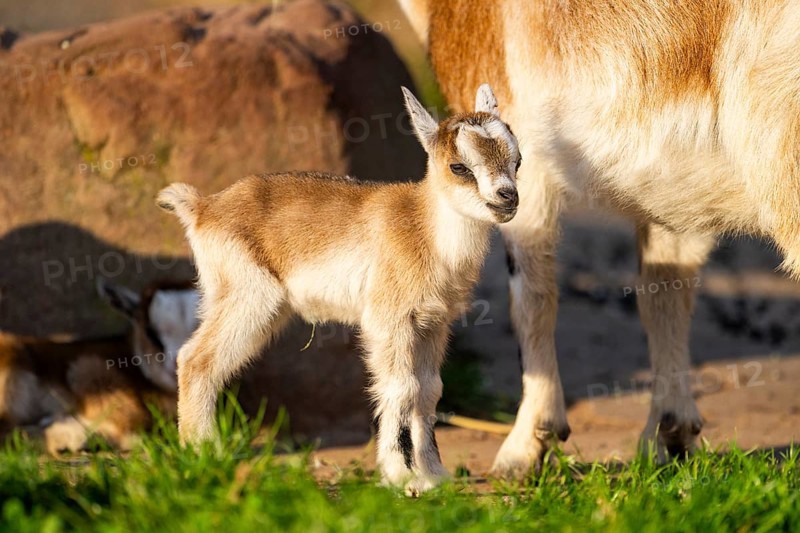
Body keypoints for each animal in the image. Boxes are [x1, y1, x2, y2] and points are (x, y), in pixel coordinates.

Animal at [156, 85, 521, 494]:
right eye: (459, 167)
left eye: (518, 160)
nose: (507, 197)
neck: (422, 227)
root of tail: (203, 208)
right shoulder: (387, 321)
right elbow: (401, 388)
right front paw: (401, 477)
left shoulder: (432, 324)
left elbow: (429, 391)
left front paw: (432, 477)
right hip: (248, 297)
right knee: (195, 359)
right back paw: (204, 457)